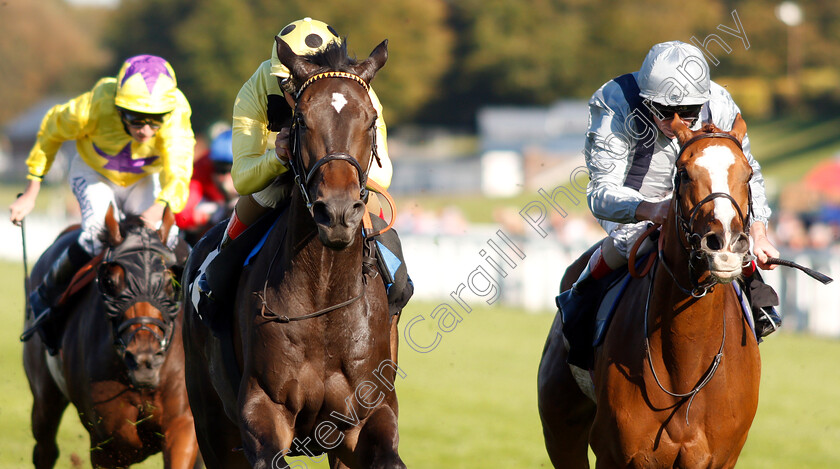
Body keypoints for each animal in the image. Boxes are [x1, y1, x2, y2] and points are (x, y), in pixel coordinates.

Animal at [23, 207, 198, 468]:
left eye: (170, 282)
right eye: (109, 281)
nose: (144, 359)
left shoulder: (182, 425)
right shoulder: (106, 444)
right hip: (44, 398)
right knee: (46, 448)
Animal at [185, 37, 406, 468]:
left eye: (371, 118)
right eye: (301, 120)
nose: (337, 213)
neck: (324, 294)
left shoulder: (368, 415)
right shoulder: (261, 407)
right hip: (209, 420)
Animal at [540, 114, 760, 468]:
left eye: (748, 174)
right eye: (683, 173)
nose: (725, 245)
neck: (685, 366)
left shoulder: (720, 457)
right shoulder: (616, 454)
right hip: (560, 428)